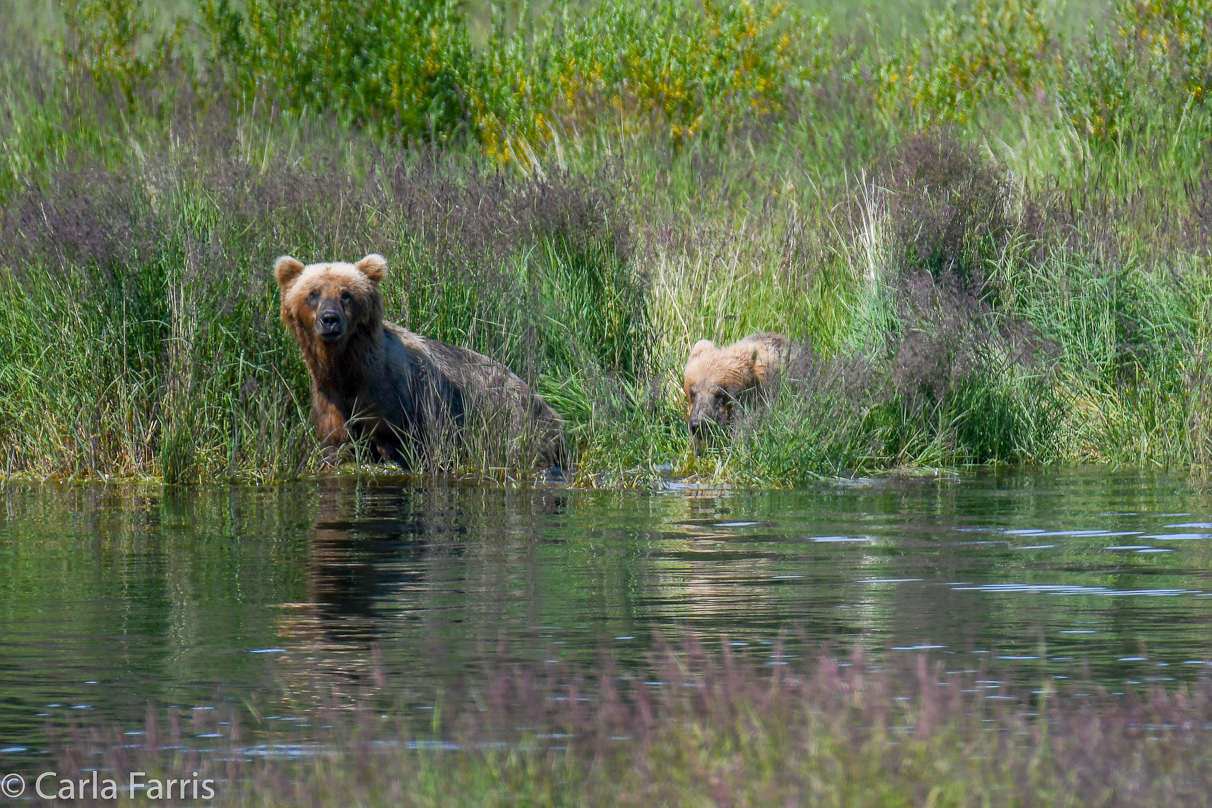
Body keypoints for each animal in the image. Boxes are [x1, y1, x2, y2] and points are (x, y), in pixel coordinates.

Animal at [272, 250, 564, 467]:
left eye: (346, 294)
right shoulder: (330, 402)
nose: (330, 319)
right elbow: (336, 446)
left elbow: (397, 448)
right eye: (313, 293)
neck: (348, 372)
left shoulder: (398, 401)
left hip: (511, 422)